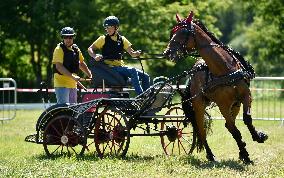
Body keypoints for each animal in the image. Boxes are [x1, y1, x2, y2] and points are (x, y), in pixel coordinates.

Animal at [163, 11, 268, 164]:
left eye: (183, 32)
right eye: (172, 33)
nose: (167, 52)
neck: (225, 69)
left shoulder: (245, 95)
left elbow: (247, 118)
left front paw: (258, 137)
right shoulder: (223, 105)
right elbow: (234, 130)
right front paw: (246, 154)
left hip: (235, 104)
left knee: (228, 125)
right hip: (199, 105)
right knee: (202, 130)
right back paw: (211, 155)